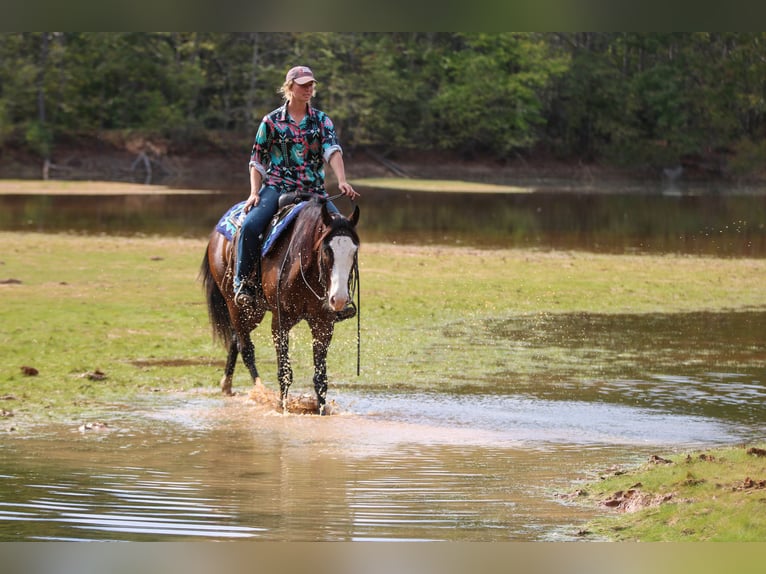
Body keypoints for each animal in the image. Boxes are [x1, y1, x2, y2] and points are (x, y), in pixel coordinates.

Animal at [199, 195, 360, 415]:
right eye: (327, 250)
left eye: (354, 251)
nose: (340, 299)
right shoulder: (280, 322)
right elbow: (285, 372)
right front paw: (282, 408)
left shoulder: (323, 323)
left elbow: (321, 378)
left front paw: (321, 411)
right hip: (237, 305)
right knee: (246, 348)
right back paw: (260, 391)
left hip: (254, 312)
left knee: (235, 339)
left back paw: (227, 385)